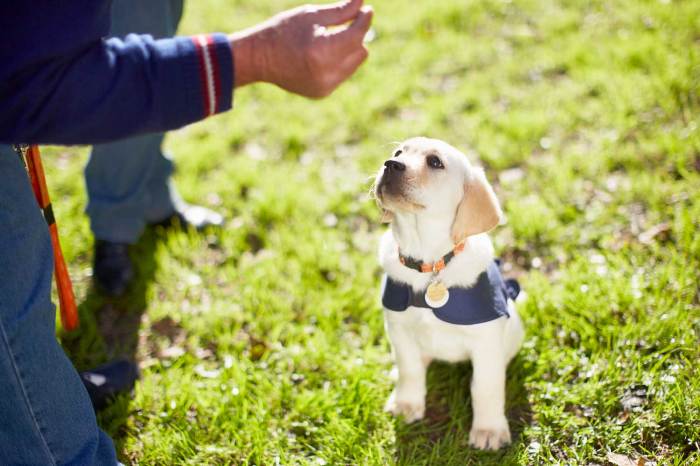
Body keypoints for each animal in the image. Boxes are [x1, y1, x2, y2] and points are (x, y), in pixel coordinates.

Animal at [374, 137, 524, 450]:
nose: (390, 164)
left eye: (435, 162)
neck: (429, 262)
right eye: (398, 153)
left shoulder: (485, 341)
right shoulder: (398, 328)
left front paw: (489, 430)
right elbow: (409, 368)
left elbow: (486, 387)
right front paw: (407, 404)